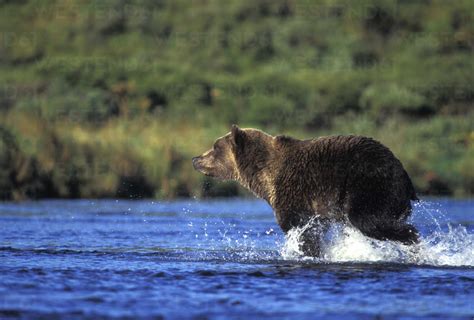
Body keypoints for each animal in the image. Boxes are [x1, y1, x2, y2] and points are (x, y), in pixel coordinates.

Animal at [192, 124, 418, 255]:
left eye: (215, 147)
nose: (195, 159)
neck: (264, 175)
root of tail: (404, 173)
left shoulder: (293, 194)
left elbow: (301, 228)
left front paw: (309, 251)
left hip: (368, 183)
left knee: (368, 219)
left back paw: (413, 240)